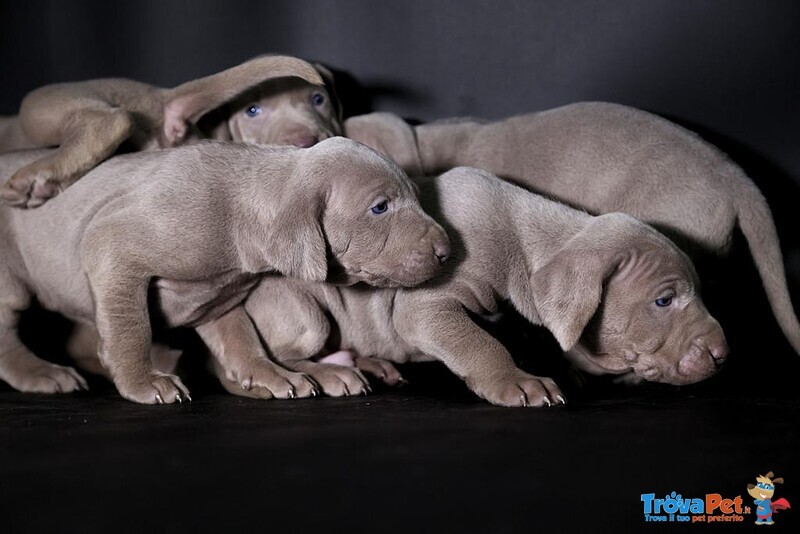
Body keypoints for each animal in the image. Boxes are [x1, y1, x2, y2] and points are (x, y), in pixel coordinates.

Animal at [0, 136, 450, 404]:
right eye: (380, 207)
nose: (447, 251)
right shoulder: (111, 246)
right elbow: (131, 327)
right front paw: (142, 381)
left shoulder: (218, 298)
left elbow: (240, 339)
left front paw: (266, 374)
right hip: (12, 283)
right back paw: (42, 373)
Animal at [241, 170, 728, 408]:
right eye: (664, 300)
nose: (724, 354)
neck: (525, 242)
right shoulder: (427, 304)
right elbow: (479, 342)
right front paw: (516, 381)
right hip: (306, 317)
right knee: (286, 352)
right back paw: (328, 374)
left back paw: (371, 364)